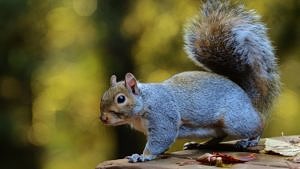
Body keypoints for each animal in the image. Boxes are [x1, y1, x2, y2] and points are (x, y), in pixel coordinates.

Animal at [99, 0, 280, 164]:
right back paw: (201, 145)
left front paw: (143, 156)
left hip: (235, 120)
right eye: (103, 97)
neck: (145, 101)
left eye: (121, 99)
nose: (103, 118)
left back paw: (250, 140)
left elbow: (161, 139)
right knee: (220, 135)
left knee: (257, 123)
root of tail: (246, 96)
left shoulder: (163, 117)